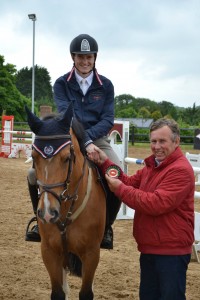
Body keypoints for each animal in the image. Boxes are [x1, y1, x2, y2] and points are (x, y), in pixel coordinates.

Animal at [25, 103, 107, 300]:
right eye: (34, 156)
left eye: (67, 158)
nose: (48, 213)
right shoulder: (49, 251)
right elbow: (58, 292)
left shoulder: (92, 253)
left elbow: (86, 292)